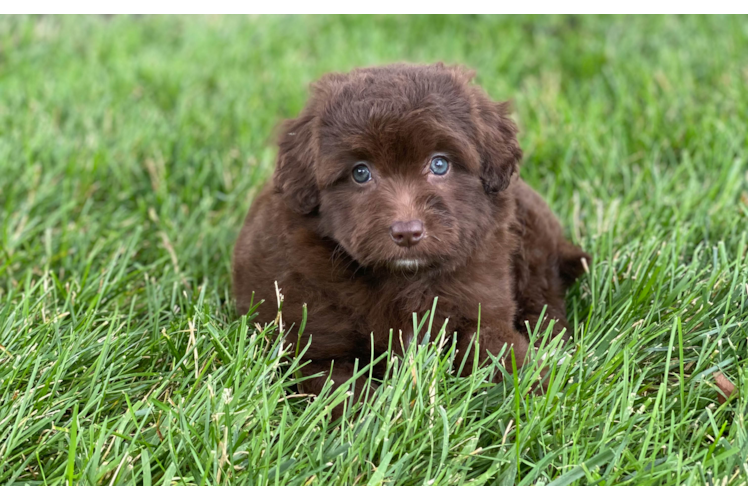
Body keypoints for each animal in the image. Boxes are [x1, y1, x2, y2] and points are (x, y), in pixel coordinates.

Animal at [234, 63, 592, 418]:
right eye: (360, 173)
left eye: (439, 164)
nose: (407, 232)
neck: (404, 278)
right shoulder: (313, 348)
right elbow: (342, 392)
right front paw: (372, 421)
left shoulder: (481, 304)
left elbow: (502, 354)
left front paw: (538, 397)